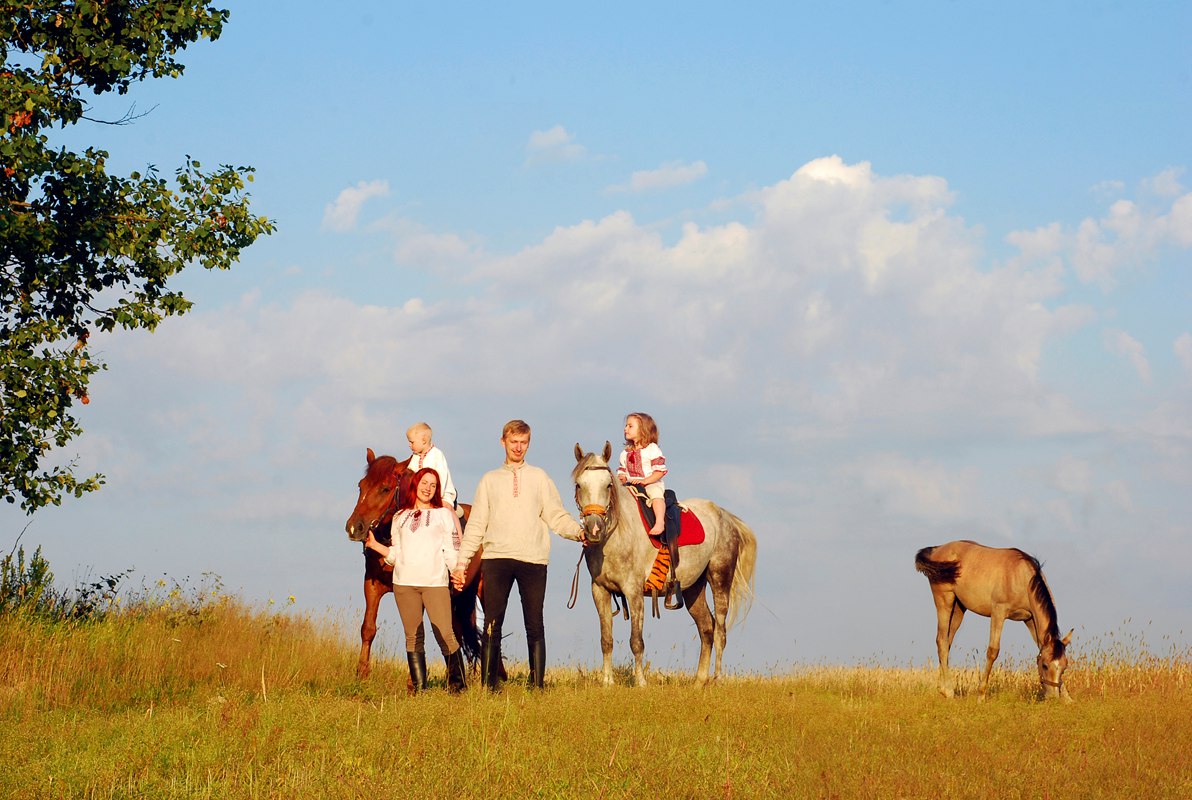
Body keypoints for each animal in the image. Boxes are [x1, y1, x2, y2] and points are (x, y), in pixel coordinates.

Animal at [567, 443, 753, 686]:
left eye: (608, 485)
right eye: (579, 484)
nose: (594, 529)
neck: (617, 535)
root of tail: (725, 517)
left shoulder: (634, 592)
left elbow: (636, 641)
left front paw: (640, 682)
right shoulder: (600, 590)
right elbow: (606, 639)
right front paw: (607, 682)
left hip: (720, 579)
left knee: (720, 631)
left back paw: (716, 680)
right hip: (693, 589)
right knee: (706, 628)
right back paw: (699, 682)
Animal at [915, 541, 1077, 705]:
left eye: (1064, 666)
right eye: (1044, 665)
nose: (1053, 698)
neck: (1021, 578)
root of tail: (937, 549)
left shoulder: (1030, 619)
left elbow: (1040, 646)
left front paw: (1068, 698)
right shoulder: (998, 612)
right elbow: (993, 651)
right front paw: (981, 695)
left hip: (959, 608)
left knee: (946, 642)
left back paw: (943, 688)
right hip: (945, 601)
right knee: (941, 640)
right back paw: (948, 691)